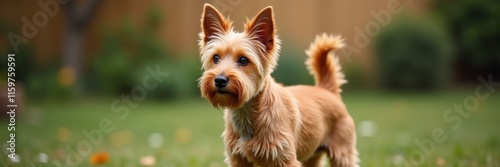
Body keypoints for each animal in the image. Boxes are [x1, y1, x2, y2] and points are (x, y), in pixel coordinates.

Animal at [197, 3, 358, 167]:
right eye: (216, 58)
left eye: (243, 60)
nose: (219, 80)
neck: (247, 112)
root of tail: (326, 89)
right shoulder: (238, 159)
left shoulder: (285, 158)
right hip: (313, 155)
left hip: (342, 152)